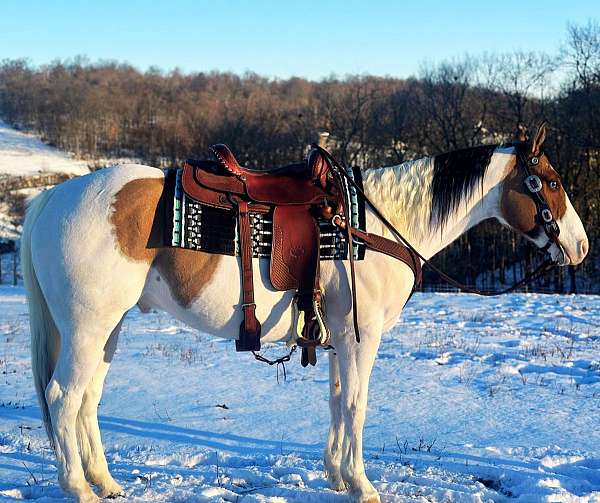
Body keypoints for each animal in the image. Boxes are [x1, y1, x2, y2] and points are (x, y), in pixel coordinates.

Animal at [22, 123, 584, 503]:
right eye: (551, 182)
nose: (579, 246)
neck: (374, 225)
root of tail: (52, 197)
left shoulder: (338, 337)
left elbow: (336, 402)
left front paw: (335, 475)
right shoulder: (362, 337)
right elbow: (356, 405)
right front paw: (361, 483)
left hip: (106, 330)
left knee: (87, 399)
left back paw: (105, 481)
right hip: (87, 328)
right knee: (63, 397)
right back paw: (78, 486)